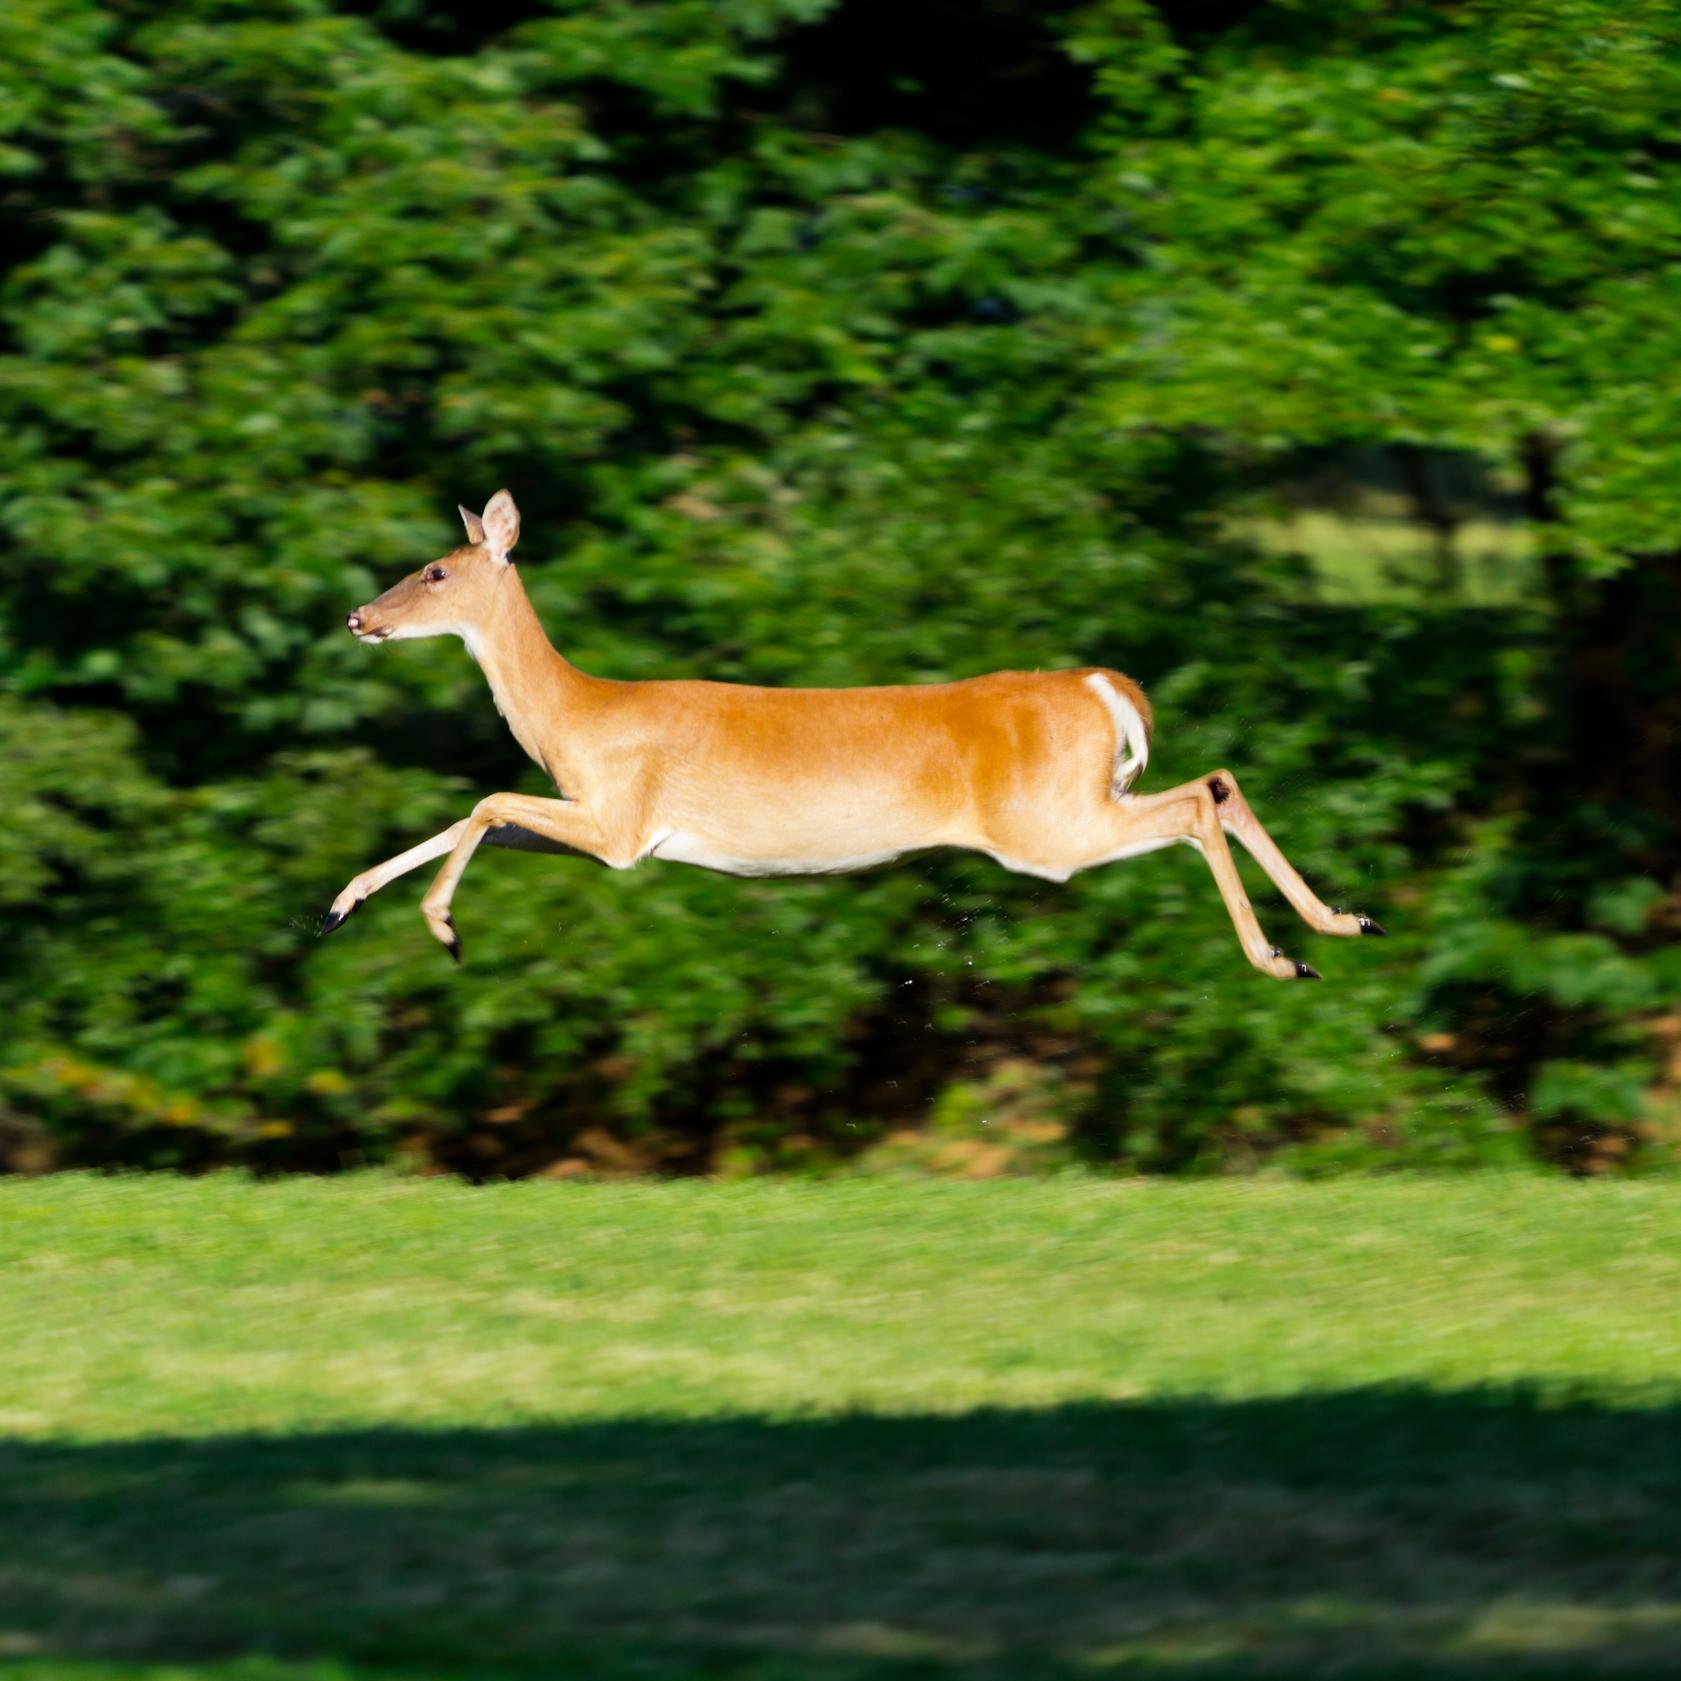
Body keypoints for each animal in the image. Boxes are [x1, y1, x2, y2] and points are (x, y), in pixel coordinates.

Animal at [322, 490, 1385, 975]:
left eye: (435, 571)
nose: (358, 617)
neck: (577, 715)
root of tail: (1098, 684)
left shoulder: (621, 823)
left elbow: (485, 799)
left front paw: (440, 926)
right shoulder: (599, 822)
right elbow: (486, 817)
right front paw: (342, 901)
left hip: (1045, 828)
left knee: (1197, 805)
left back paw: (1283, 956)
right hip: (1087, 794)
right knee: (1216, 781)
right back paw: (1344, 922)